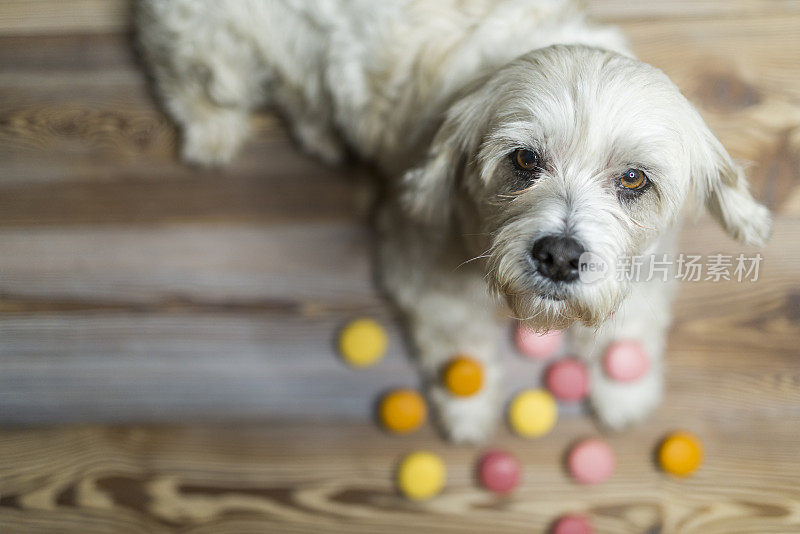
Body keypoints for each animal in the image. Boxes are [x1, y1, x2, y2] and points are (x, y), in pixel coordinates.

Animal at [136, 0, 768, 444]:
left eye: (634, 179)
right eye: (524, 160)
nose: (559, 255)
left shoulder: (645, 267)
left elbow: (627, 327)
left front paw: (621, 389)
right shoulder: (420, 264)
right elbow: (461, 345)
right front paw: (468, 409)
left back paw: (319, 131)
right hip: (215, 51)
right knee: (185, 80)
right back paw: (212, 133)